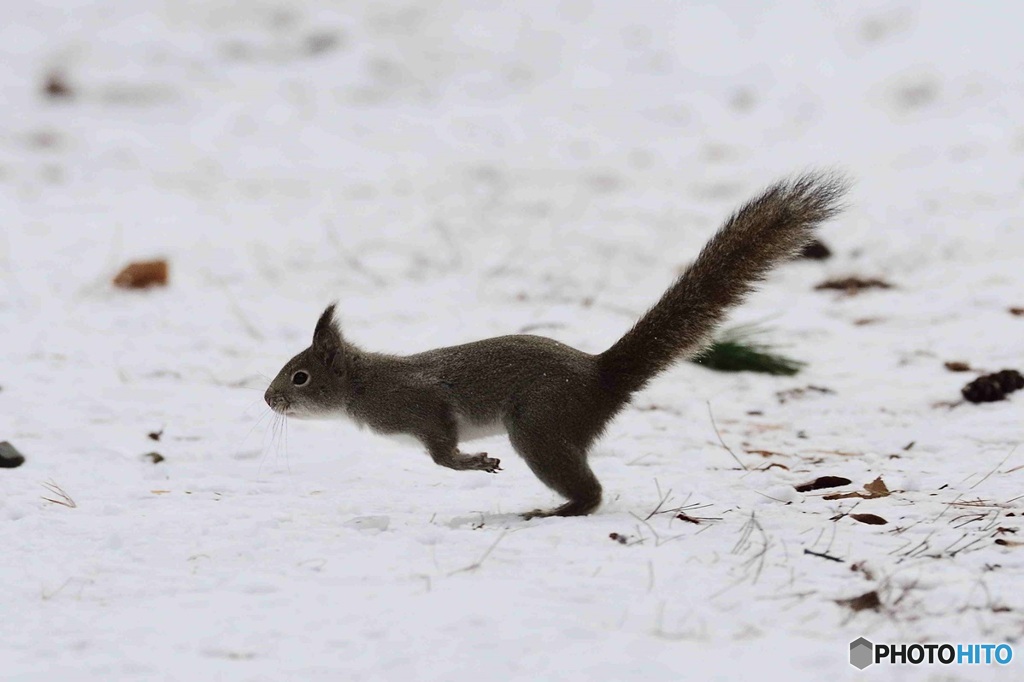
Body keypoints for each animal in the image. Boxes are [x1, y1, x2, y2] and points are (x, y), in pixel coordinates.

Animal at [264, 173, 847, 518]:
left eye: (300, 376)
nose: (268, 400)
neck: (363, 385)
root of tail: (601, 376)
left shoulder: (423, 407)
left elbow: (442, 455)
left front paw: (476, 463)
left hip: (540, 425)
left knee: (589, 492)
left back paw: (557, 511)